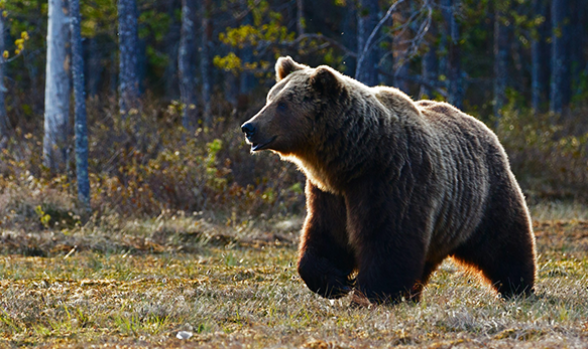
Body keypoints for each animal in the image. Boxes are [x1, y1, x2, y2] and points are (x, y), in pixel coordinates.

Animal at [240, 56, 536, 304]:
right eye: (269, 98)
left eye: (282, 104)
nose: (248, 127)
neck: (354, 158)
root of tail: (481, 125)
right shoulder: (330, 194)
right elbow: (326, 235)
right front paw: (335, 282)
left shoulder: (393, 178)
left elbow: (389, 239)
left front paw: (370, 293)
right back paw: (413, 294)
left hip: (483, 195)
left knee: (504, 241)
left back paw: (519, 288)